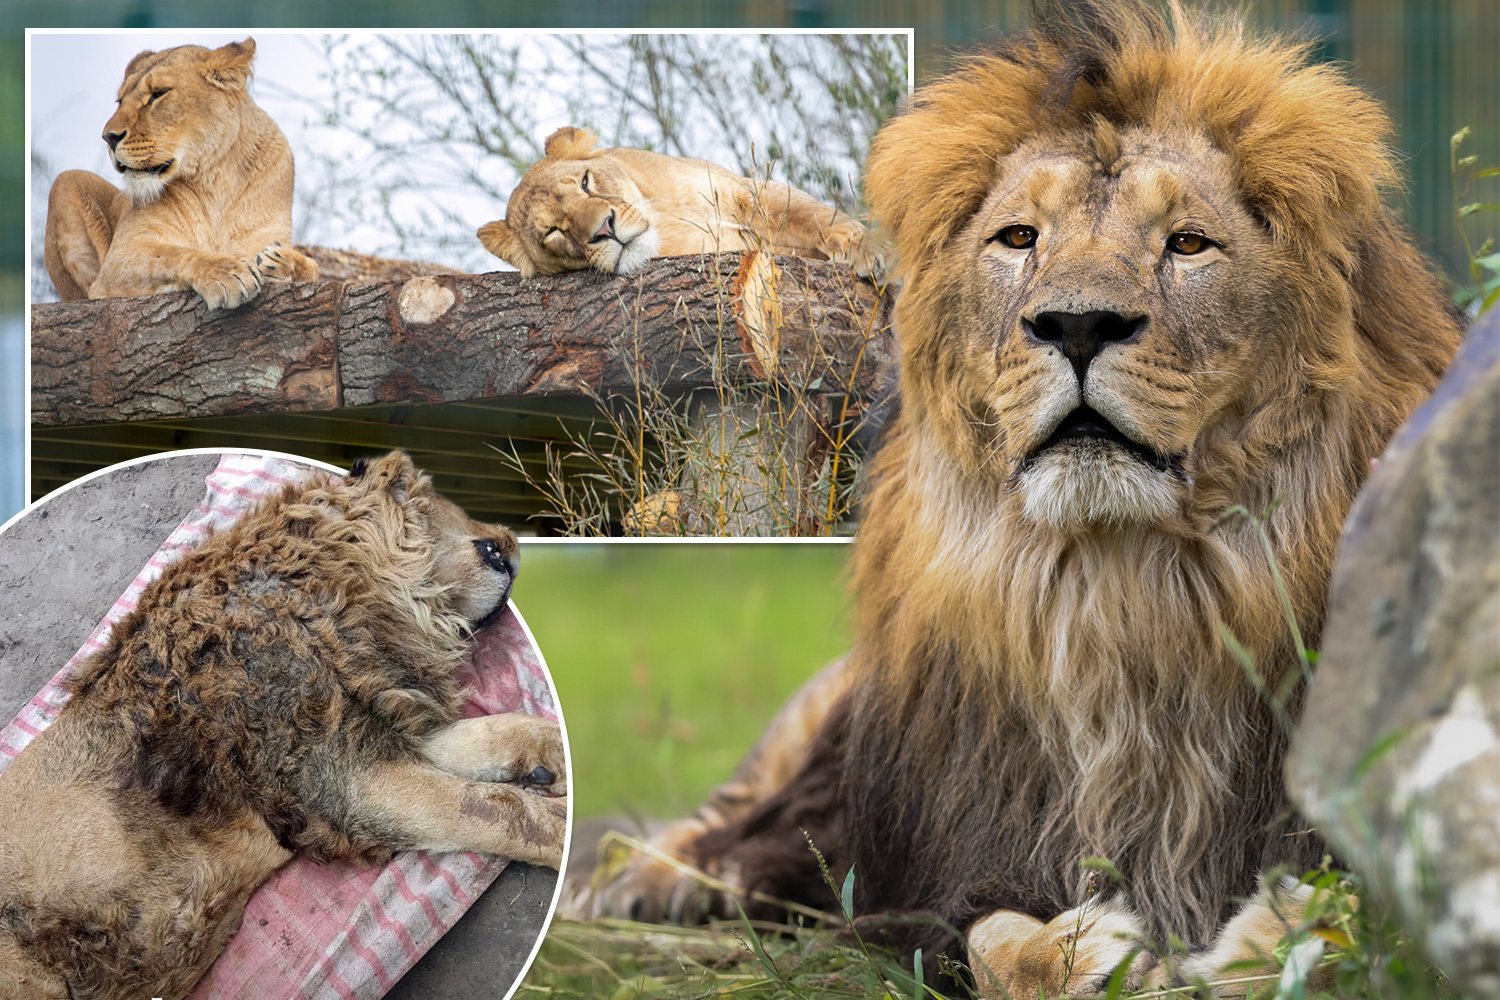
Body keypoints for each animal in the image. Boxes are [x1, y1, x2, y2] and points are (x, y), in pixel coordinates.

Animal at [0, 452, 567, 1000]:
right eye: (429, 491)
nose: (512, 541)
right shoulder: (344, 781)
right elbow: (497, 810)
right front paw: (560, 827)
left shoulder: (370, 730)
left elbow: (500, 735)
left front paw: (556, 759)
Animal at [43, 38, 318, 310]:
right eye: (120, 101)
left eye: (158, 94)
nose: (108, 137)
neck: (216, 179)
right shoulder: (120, 257)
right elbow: (170, 255)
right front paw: (226, 273)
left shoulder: (267, 234)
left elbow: (313, 270)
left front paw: (282, 263)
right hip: (67, 180)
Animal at [477, 126, 867, 277]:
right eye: (553, 232)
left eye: (586, 182)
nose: (605, 229)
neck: (666, 214)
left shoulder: (746, 189)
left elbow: (808, 213)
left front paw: (862, 248)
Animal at [582, 1, 1463, 995]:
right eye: (1019, 239)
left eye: (1188, 243)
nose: (1077, 324)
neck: (1126, 592)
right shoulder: (928, 878)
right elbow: (996, 941)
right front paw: (1089, 954)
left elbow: (1346, 912)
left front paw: (1251, 950)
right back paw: (639, 885)